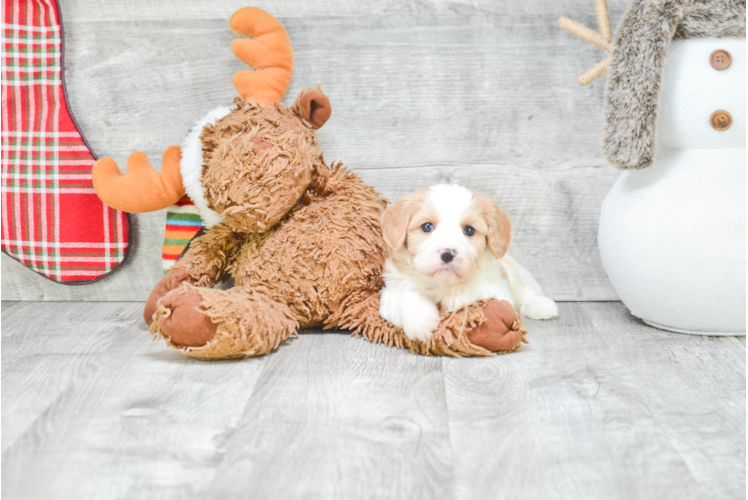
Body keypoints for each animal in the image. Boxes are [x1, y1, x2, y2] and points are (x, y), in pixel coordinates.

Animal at [382, 186, 560, 342]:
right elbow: (406, 295)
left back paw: (542, 306)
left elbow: (481, 285)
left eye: (469, 230)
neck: (443, 283)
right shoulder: (389, 294)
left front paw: (457, 294)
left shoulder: (501, 290)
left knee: (526, 292)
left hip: (517, 275)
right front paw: (420, 319)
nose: (447, 254)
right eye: (426, 227)